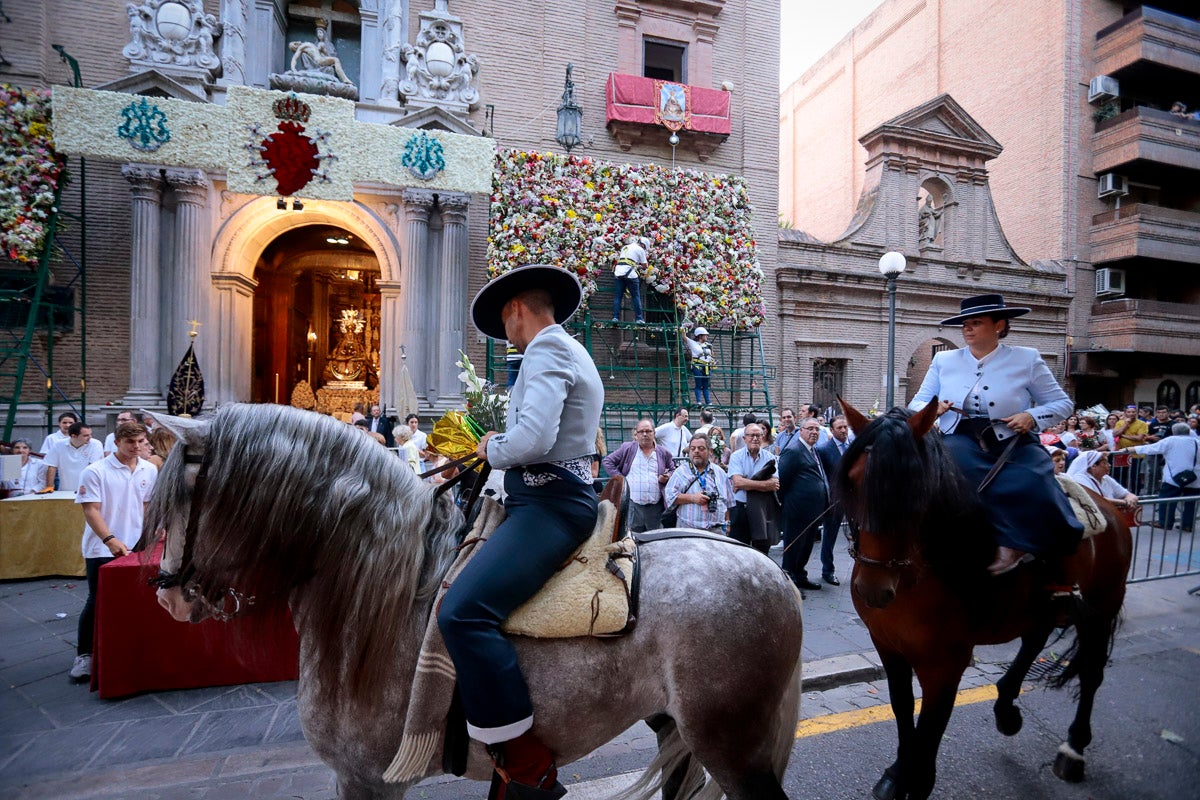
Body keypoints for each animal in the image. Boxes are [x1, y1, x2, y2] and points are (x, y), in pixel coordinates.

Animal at [147, 407, 806, 800]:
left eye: (179, 499)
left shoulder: (366, 778)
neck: (381, 595)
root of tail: (772, 570)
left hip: (731, 739)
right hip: (679, 728)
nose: (169, 594)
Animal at [835, 400, 1132, 800]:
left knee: (1091, 672)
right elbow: (902, 706)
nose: (873, 588)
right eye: (852, 481)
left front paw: (917, 779)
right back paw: (1007, 707)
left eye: (914, 487)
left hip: (1101, 611)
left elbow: (931, 723)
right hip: (1042, 609)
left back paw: (1073, 749)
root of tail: (1110, 507)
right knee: (1034, 640)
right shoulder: (888, 645)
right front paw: (897, 774)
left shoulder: (946, 662)